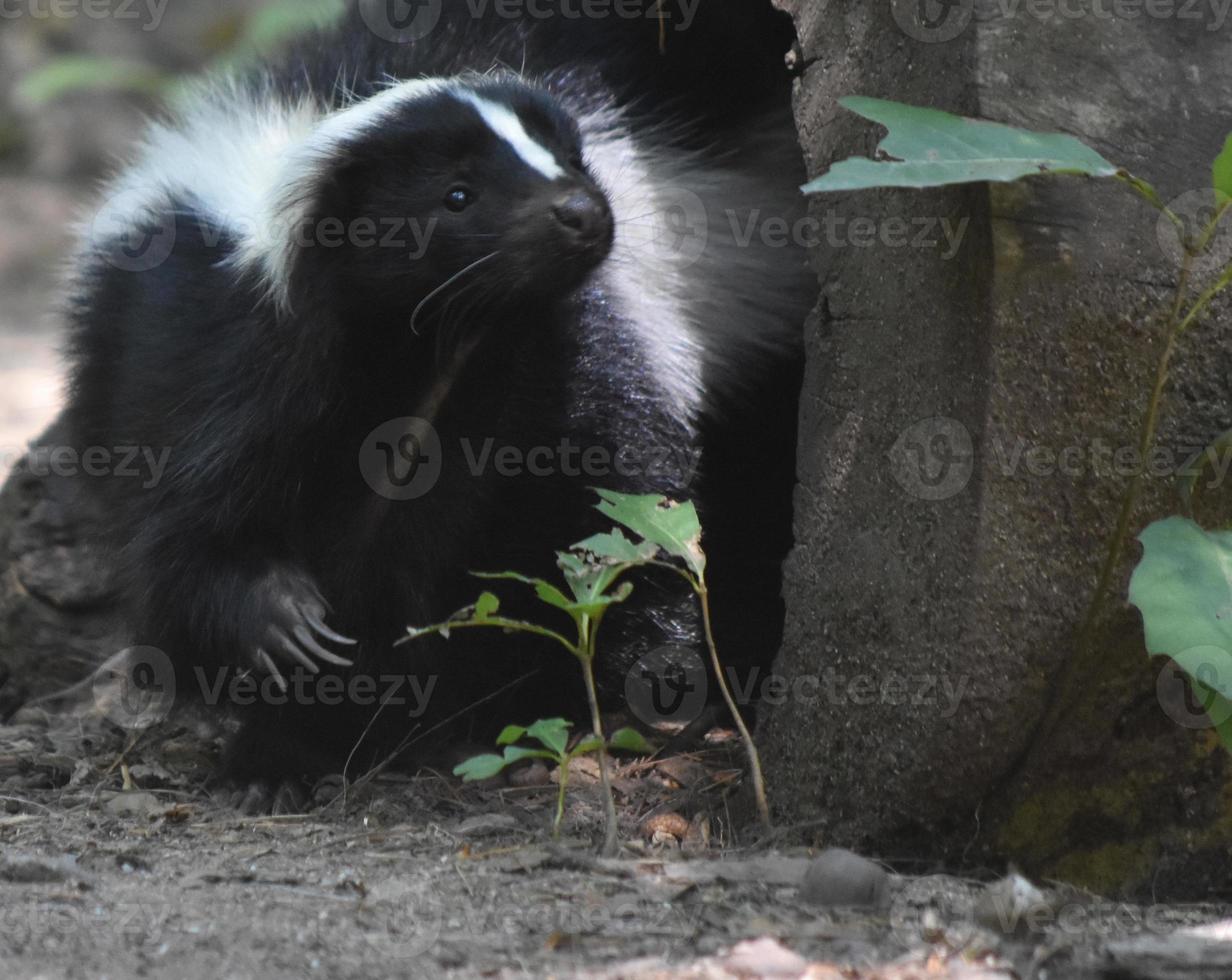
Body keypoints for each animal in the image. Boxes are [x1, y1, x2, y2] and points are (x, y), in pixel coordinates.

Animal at [64, 0, 808, 803]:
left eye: (569, 160)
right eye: (456, 195)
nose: (579, 210)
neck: (435, 358)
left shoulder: (581, 374)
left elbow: (625, 527)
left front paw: (641, 690)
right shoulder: (228, 370)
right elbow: (190, 543)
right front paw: (287, 657)